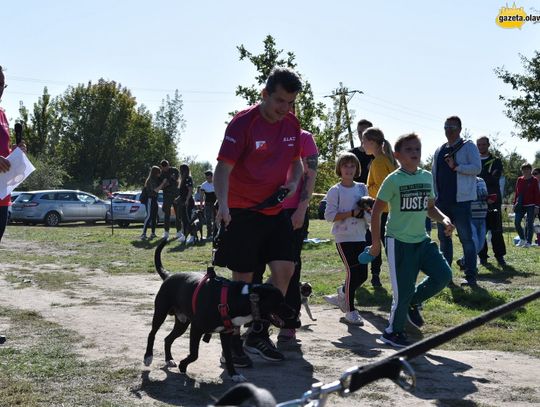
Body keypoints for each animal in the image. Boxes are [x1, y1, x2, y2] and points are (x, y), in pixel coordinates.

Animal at [146, 239, 294, 382]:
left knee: (167, 339)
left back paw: (169, 359)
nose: (293, 313)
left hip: (182, 323)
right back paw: (148, 356)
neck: (235, 299)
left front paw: (234, 374)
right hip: (160, 314)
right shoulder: (196, 328)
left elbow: (228, 356)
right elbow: (194, 354)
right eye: (279, 302)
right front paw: (183, 365)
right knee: (152, 334)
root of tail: (169, 276)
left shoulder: (226, 334)